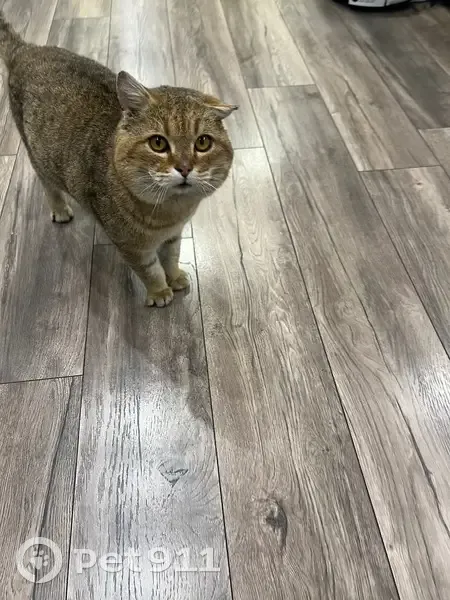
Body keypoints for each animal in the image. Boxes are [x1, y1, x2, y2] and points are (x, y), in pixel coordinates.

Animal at [0, 12, 237, 307]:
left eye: (203, 143)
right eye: (158, 143)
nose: (184, 168)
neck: (170, 212)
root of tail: (26, 49)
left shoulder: (173, 236)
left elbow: (171, 258)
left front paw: (175, 277)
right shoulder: (131, 247)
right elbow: (150, 270)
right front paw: (159, 291)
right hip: (38, 157)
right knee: (48, 185)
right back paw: (60, 209)